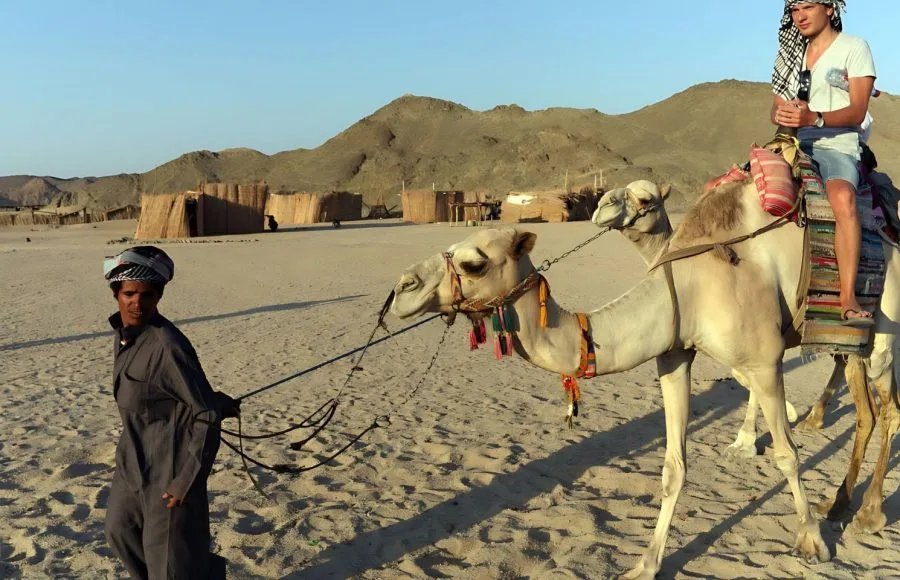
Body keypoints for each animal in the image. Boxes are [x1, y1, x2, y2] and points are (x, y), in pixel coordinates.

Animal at [591, 180, 850, 458]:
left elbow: (748, 375)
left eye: (645, 200)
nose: (601, 204)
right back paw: (816, 417)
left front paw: (768, 426)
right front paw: (747, 440)